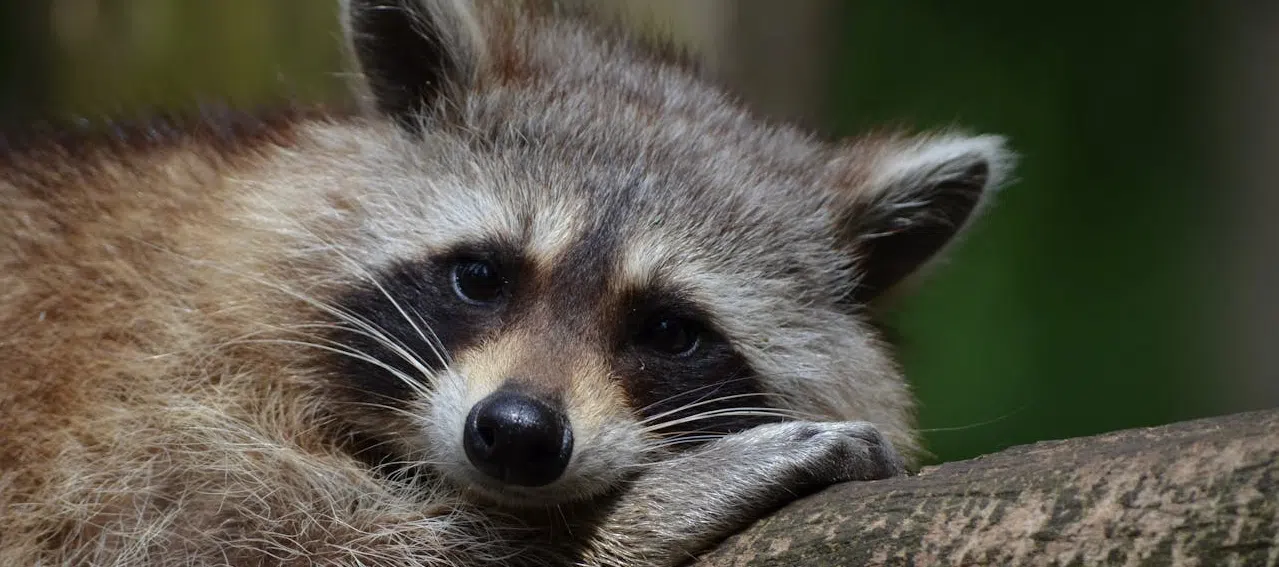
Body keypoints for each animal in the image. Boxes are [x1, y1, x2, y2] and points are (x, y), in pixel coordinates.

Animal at [0, 0, 1012, 565]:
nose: (518, 433)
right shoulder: (133, 400)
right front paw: (607, 525)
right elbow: (239, 538)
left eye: (669, 330)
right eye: (480, 275)